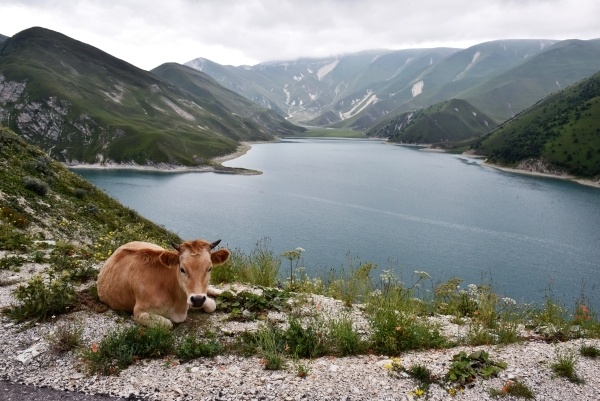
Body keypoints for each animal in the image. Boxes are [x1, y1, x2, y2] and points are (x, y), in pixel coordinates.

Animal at [97, 239, 231, 326]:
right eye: (182, 269)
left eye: (209, 268)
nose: (198, 299)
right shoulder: (139, 312)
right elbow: (168, 324)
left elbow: (211, 305)